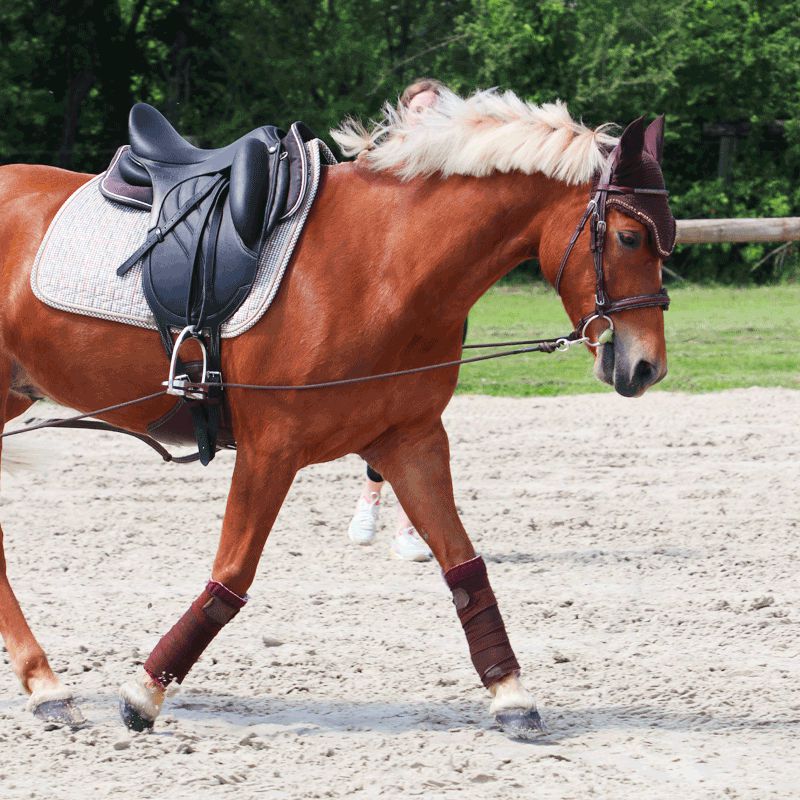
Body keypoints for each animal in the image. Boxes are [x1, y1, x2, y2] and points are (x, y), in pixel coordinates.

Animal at [0, 89, 676, 736]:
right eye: (629, 237)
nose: (646, 366)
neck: (386, 265)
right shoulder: (272, 449)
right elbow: (233, 575)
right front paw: (145, 693)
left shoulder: (410, 442)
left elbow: (464, 566)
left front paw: (512, 697)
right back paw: (48, 688)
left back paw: (45, 688)